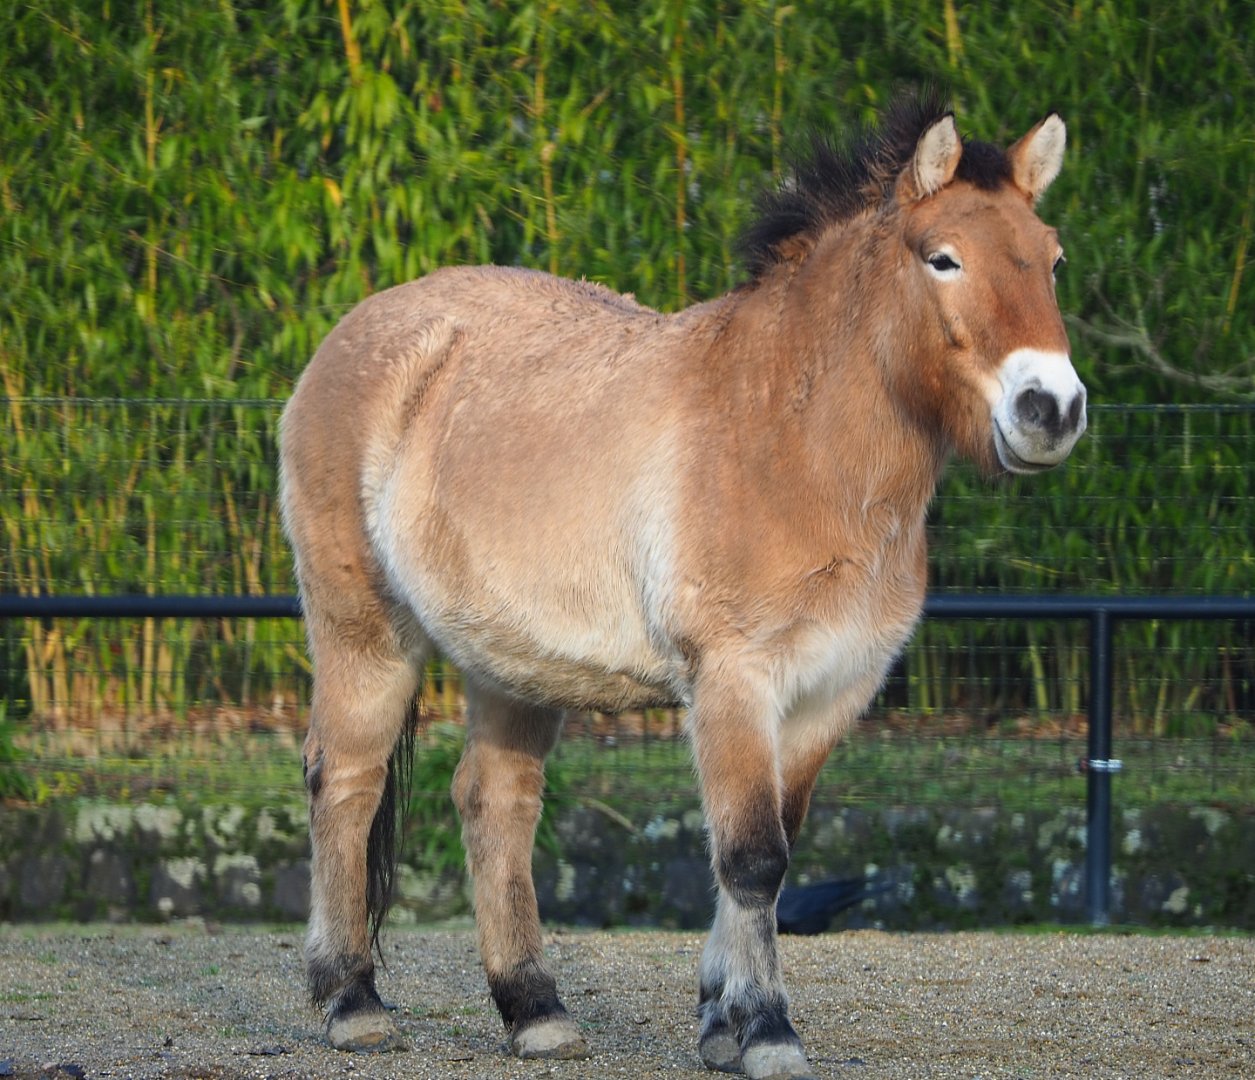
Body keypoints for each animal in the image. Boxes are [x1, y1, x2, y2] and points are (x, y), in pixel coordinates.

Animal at [278, 91, 1086, 1079]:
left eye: (1050, 258)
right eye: (943, 258)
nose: (1051, 410)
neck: (790, 435)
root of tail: (352, 336)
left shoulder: (829, 694)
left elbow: (771, 849)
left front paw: (718, 1022)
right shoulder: (734, 681)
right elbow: (751, 857)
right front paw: (767, 1031)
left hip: (510, 664)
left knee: (492, 803)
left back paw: (533, 1009)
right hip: (364, 633)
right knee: (345, 782)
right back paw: (351, 1000)